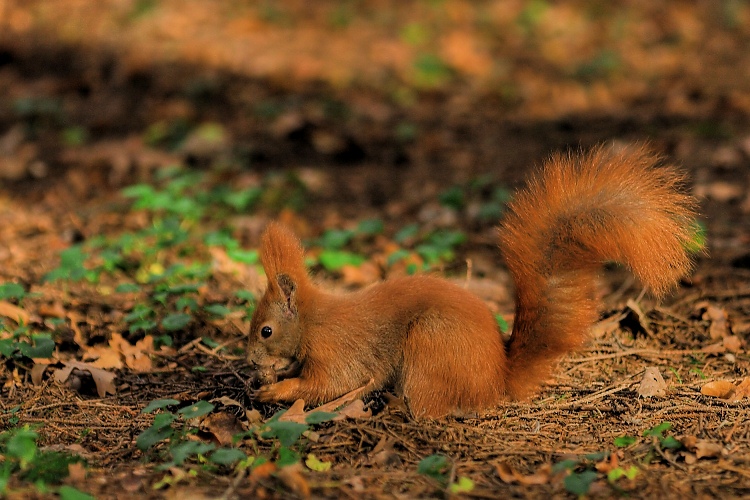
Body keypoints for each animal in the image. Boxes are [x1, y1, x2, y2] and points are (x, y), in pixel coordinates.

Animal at [245, 146, 700, 418]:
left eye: (266, 330)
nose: (249, 361)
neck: (311, 320)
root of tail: (496, 382)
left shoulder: (336, 350)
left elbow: (327, 384)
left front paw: (277, 390)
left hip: (431, 343)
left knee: (428, 409)